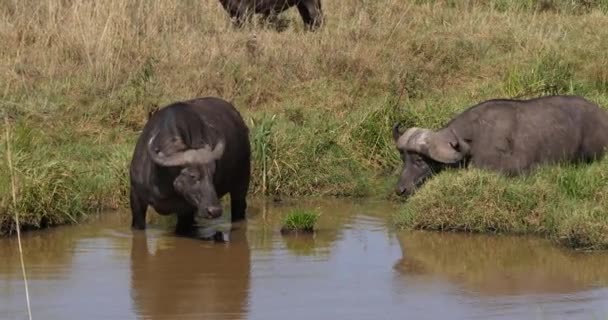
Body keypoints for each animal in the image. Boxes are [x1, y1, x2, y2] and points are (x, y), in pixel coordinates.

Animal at [128, 96, 252, 234]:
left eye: (212, 175)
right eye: (193, 176)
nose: (215, 211)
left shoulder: (185, 211)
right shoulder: (136, 198)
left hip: (242, 183)